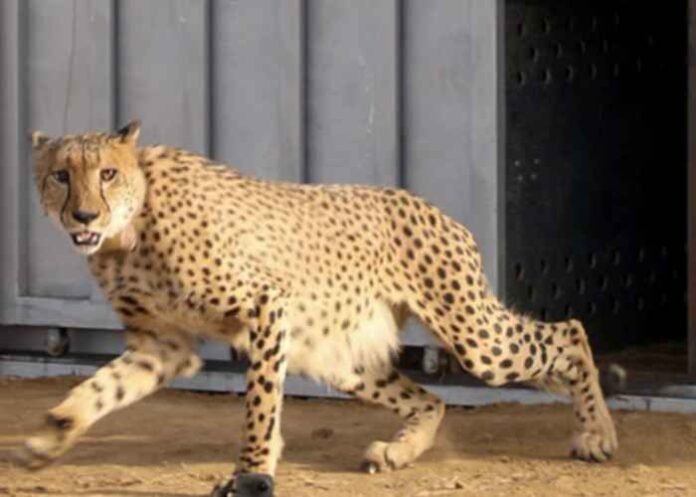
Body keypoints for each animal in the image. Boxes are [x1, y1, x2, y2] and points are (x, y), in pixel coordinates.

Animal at [19, 120, 618, 496]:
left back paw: (598, 434)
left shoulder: (266, 305)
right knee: (430, 400)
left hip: (475, 338)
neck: (130, 231)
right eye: (60, 175)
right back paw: (398, 452)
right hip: (338, 357)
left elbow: (260, 407)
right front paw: (50, 437)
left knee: (568, 332)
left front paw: (252, 473)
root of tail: (432, 207)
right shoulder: (161, 347)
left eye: (107, 173)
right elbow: (100, 390)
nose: (83, 216)